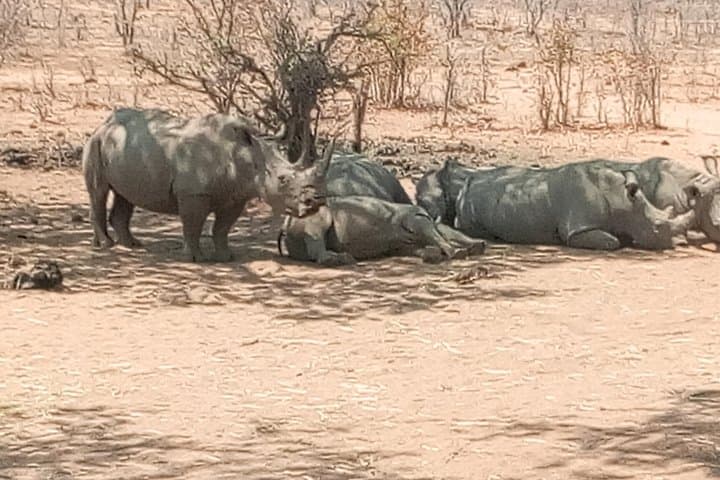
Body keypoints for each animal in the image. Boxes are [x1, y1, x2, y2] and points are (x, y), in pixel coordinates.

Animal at [82, 108, 332, 262]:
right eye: (283, 179)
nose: (315, 203)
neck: (248, 155)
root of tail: (103, 124)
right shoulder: (194, 193)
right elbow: (193, 226)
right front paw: (195, 259)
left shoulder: (237, 195)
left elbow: (222, 228)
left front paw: (226, 257)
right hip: (95, 143)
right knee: (99, 191)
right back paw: (107, 245)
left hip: (123, 149)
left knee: (126, 195)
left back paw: (132, 245)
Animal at [279, 195, 486, 266]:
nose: (483, 244)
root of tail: (285, 222)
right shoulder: (416, 218)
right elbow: (437, 237)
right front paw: (457, 252)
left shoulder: (402, 246)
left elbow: (422, 249)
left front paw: (433, 255)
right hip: (310, 213)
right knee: (317, 227)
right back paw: (338, 260)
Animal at [454, 161, 696, 251]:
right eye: (657, 226)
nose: (670, 245)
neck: (623, 200)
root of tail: (469, 180)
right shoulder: (578, 229)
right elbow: (612, 242)